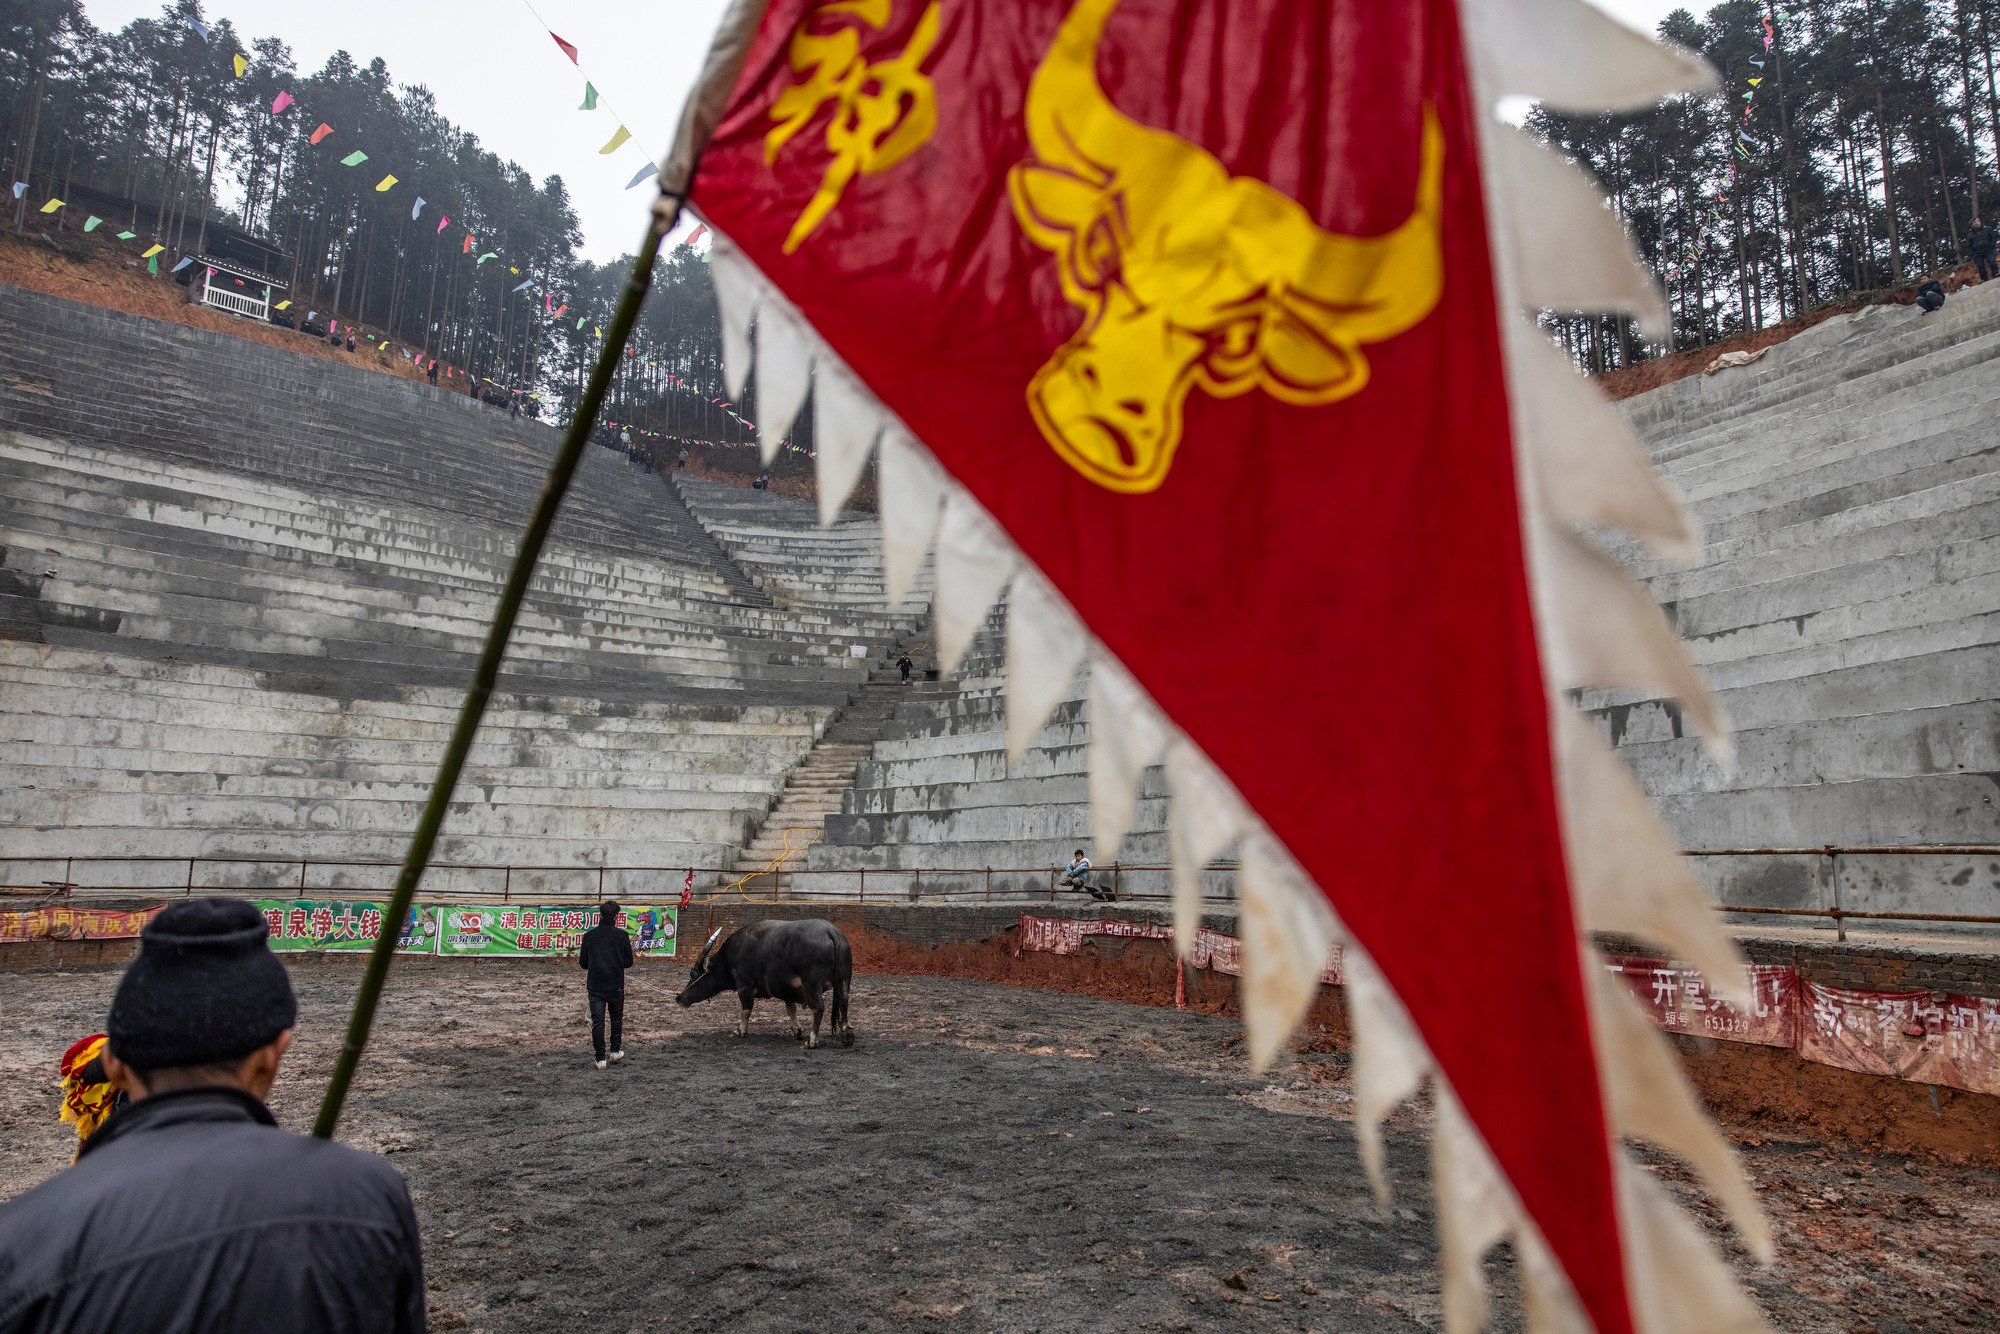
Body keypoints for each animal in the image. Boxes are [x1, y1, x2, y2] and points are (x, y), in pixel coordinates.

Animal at [676, 924, 856, 1048]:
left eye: (693, 975)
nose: (679, 998)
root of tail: (830, 931)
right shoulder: (786, 990)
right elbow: (791, 1009)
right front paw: (796, 1031)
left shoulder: (744, 987)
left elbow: (746, 1009)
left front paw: (740, 1031)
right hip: (844, 980)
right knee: (844, 1001)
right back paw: (847, 1034)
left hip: (812, 985)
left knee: (819, 1008)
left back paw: (812, 1041)